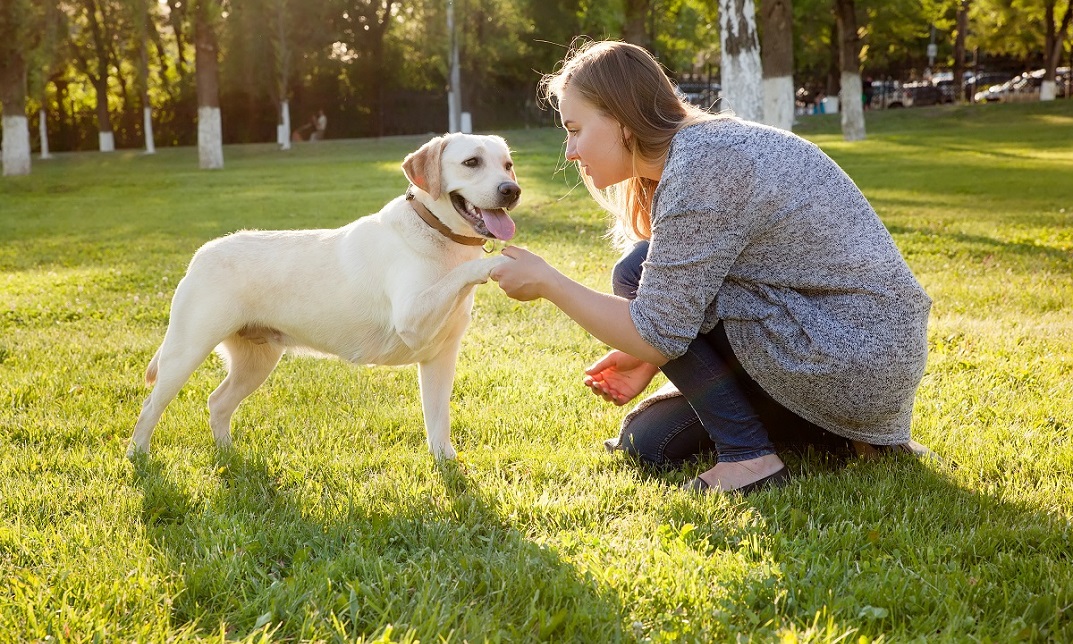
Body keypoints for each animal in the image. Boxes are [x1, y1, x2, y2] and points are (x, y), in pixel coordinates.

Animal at [127, 133, 521, 459]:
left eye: (507, 165)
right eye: (472, 162)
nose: (511, 190)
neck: (437, 234)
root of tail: (200, 254)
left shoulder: (440, 356)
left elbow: (438, 420)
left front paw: (446, 464)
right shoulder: (412, 318)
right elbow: (463, 274)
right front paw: (499, 262)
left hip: (256, 362)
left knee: (217, 402)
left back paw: (228, 454)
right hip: (185, 353)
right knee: (150, 407)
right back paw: (139, 459)